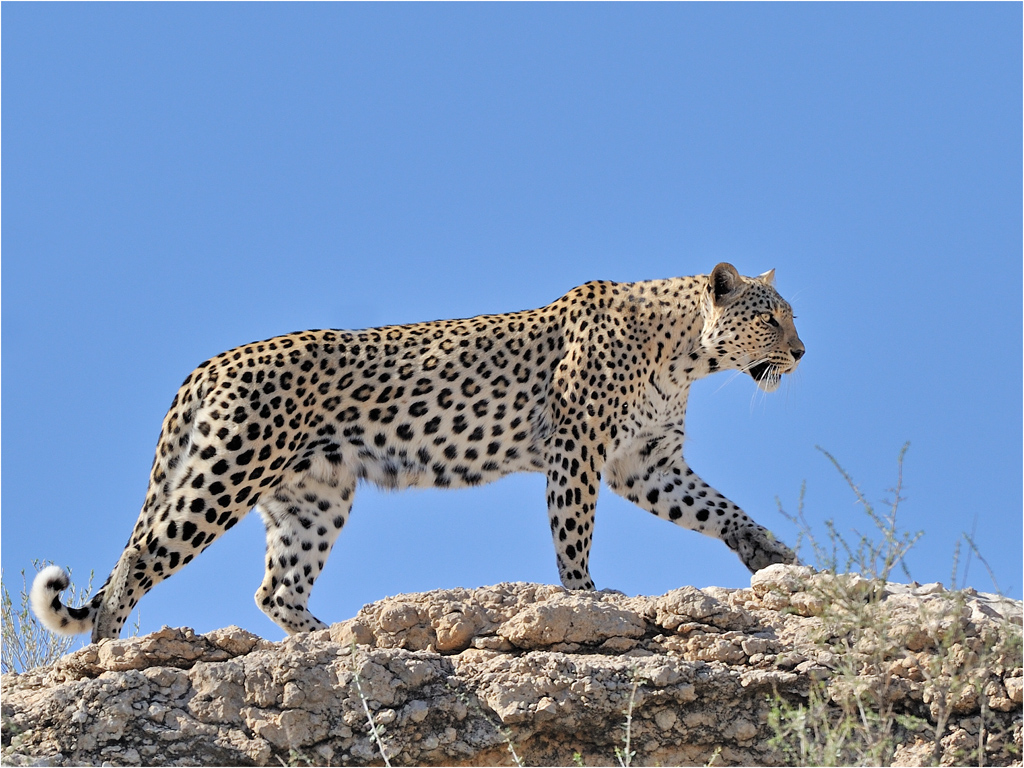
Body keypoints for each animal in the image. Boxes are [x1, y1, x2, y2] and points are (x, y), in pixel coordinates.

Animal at [32, 262, 804, 641]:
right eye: (771, 317)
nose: (801, 352)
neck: (686, 355)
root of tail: (210, 364)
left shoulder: (643, 461)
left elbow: (718, 508)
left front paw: (770, 552)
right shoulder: (579, 451)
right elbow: (573, 534)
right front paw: (586, 597)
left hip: (312, 495)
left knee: (275, 586)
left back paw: (334, 638)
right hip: (230, 469)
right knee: (137, 557)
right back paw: (106, 649)